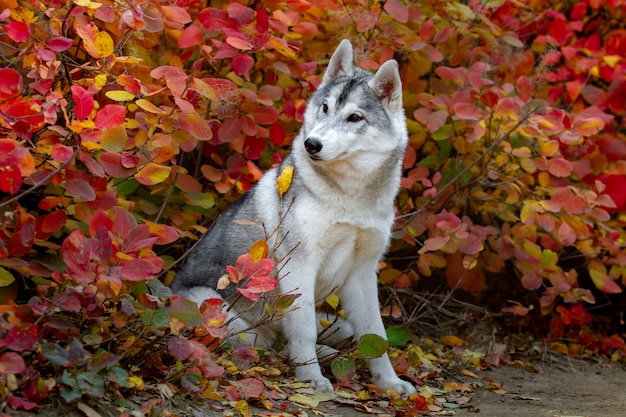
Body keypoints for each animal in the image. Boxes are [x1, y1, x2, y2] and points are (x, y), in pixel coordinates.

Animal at [171, 39, 414, 394]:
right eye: (324, 108)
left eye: (355, 117)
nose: (312, 143)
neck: (350, 198)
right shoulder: (300, 265)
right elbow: (303, 330)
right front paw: (311, 377)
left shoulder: (362, 272)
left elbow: (375, 334)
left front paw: (389, 382)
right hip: (220, 311)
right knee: (266, 342)